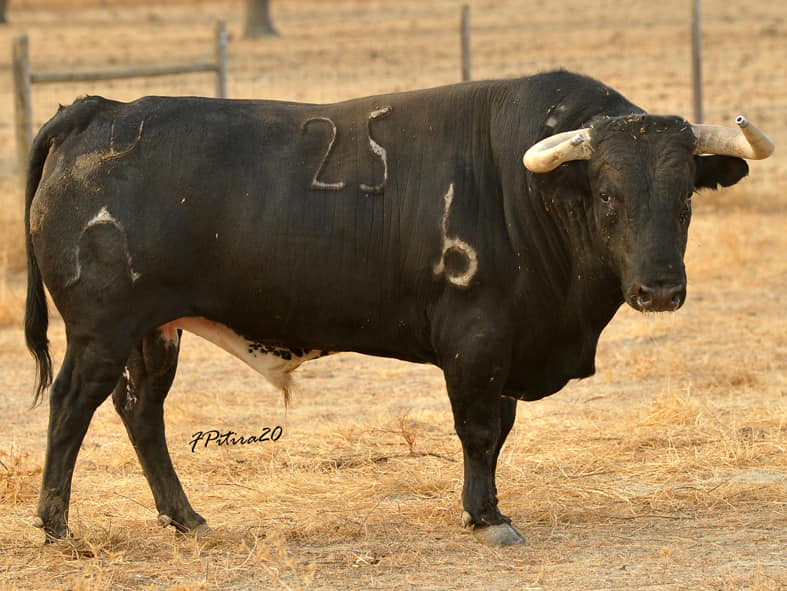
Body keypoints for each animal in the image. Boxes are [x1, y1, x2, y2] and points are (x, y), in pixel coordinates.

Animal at [25, 70, 773, 546]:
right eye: (609, 196)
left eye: (685, 198)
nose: (659, 290)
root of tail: (101, 109)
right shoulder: (475, 338)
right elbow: (478, 430)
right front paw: (487, 518)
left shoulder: (506, 345)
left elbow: (498, 430)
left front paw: (485, 508)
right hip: (100, 329)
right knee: (71, 407)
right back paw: (57, 526)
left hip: (154, 329)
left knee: (140, 412)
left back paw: (185, 518)